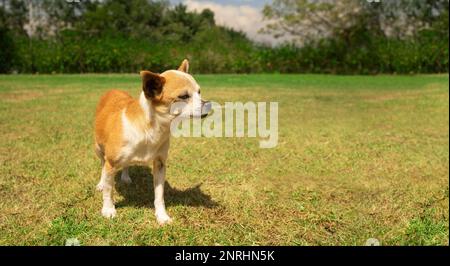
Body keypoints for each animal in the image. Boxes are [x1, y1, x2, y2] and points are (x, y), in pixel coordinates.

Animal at [93, 59, 213, 224]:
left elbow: (159, 195)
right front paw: (108, 209)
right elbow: (108, 190)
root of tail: (113, 90)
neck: (152, 129)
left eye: (199, 92)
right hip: (98, 148)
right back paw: (101, 182)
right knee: (102, 164)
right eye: (183, 96)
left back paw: (125, 177)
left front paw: (162, 216)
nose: (208, 103)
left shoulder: (160, 164)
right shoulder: (111, 163)